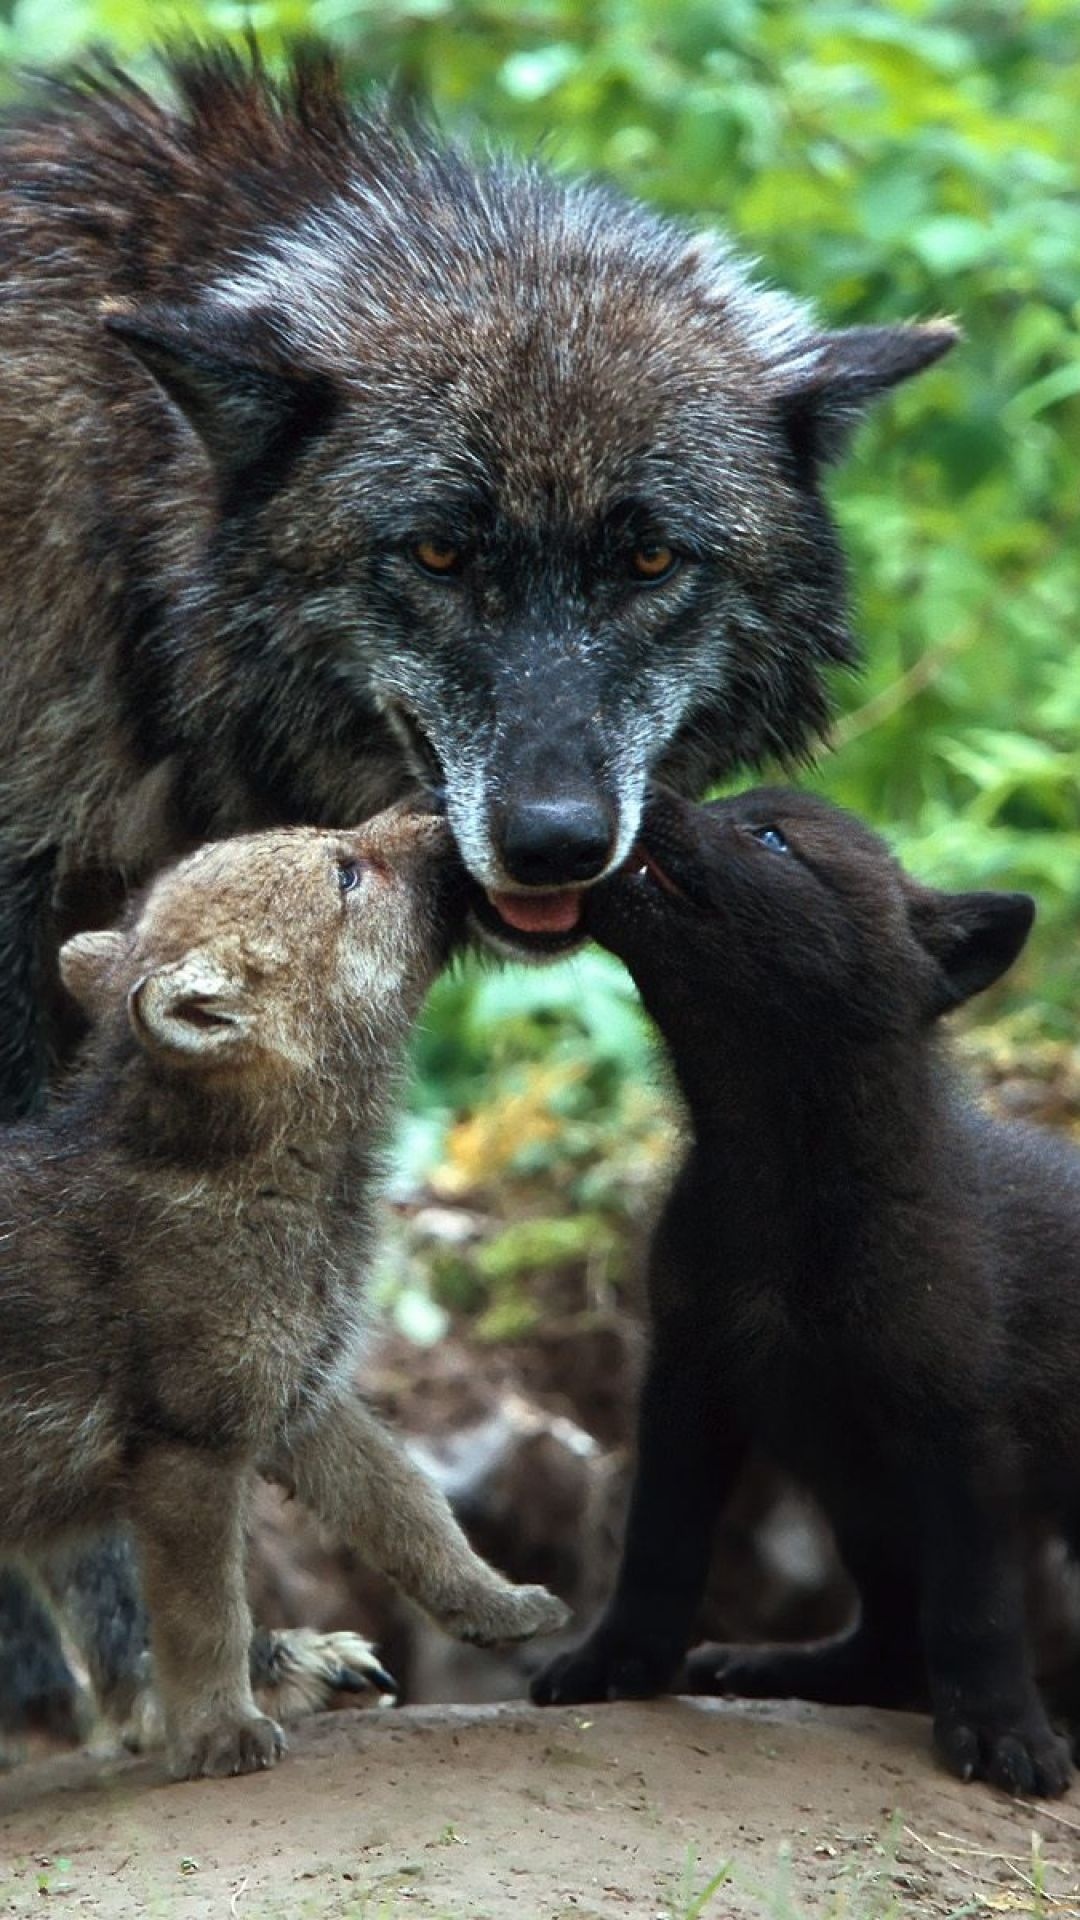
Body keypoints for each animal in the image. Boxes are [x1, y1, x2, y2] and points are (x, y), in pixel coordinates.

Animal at [2, 802, 564, 1774]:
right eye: (345, 873)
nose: (432, 808)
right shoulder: (186, 1449)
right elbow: (204, 1616)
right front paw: (221, 1733)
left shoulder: (304, 1399)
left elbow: (413, 1511)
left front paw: (500, 1605)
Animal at [530, 783, 1076, 1797]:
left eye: (772, 838)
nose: (642, 795)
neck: (785, 1189)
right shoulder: (689, 1379)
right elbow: (658, 1545)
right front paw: (615, 1661)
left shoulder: (960, 1426)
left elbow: (978, 1605)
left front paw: (1002, 1731)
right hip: (858, 1497)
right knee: (890, 1644)